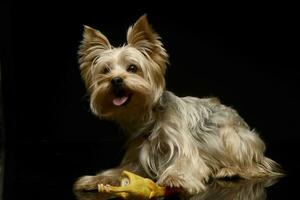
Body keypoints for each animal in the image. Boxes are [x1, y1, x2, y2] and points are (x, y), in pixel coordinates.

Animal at [74, 14, 282, 199]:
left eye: (133, 68)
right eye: (105, 71)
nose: (115, 80)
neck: (151, 119)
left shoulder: (187, 151)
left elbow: (186, 164)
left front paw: (175, 179)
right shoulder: (136, 161)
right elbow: (116, 172)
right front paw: (93, 180)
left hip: (234, 137)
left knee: (258, 166)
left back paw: (229, 170)